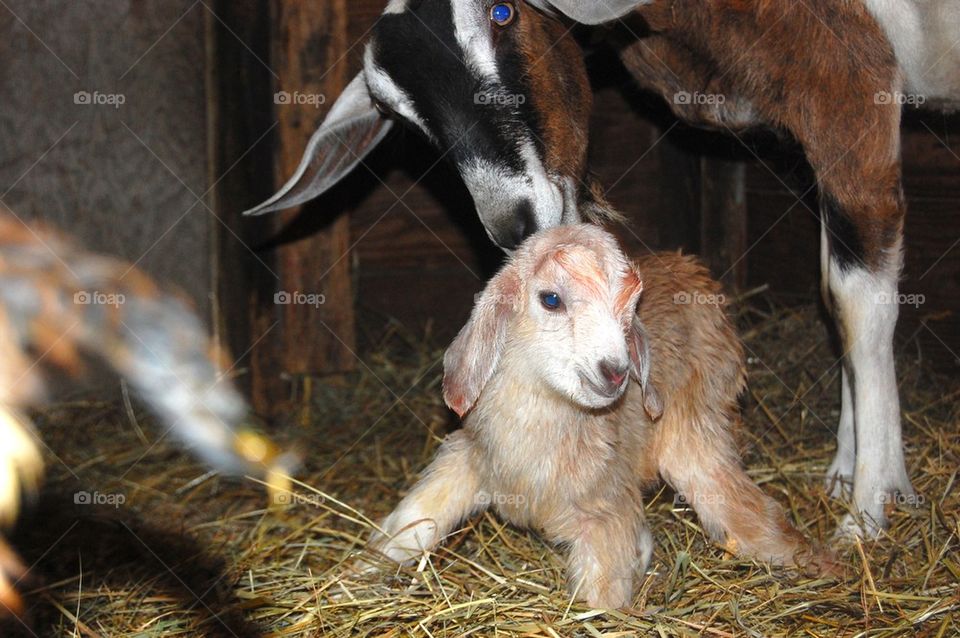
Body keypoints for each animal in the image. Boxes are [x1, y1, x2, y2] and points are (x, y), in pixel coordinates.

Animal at [245, 0, 960, 536]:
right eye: (399, 114)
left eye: (503, 11)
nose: (515, 225)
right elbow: (837, 290)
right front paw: (847, 469)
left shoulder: (851, 86)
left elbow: (857, 300)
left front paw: (871, 507)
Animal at [366, 223, 836, 609]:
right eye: (551, 299)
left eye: (629, 310)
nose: (616, 371)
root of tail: (690, 266)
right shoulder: (471, 455)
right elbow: (413, 518)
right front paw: (362, 570)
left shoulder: (606, 509)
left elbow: (601, 599)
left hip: (695, 430)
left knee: (747, 508)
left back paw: (824, 567)